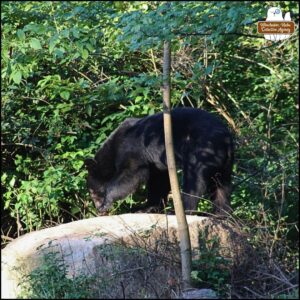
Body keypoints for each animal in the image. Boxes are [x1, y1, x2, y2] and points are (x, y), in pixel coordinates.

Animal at [84, 108, 234, 216]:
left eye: (92, 192)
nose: (97, 208)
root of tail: (225, 137)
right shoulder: (156, 161)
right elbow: (158, 181)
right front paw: (146, 208)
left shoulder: (132, 148)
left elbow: (130, 174)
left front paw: (106, 203)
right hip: (225, 162)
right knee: (221, 184)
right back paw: (221, 214)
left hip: (201, 149)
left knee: (194, 180)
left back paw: (180, 210)